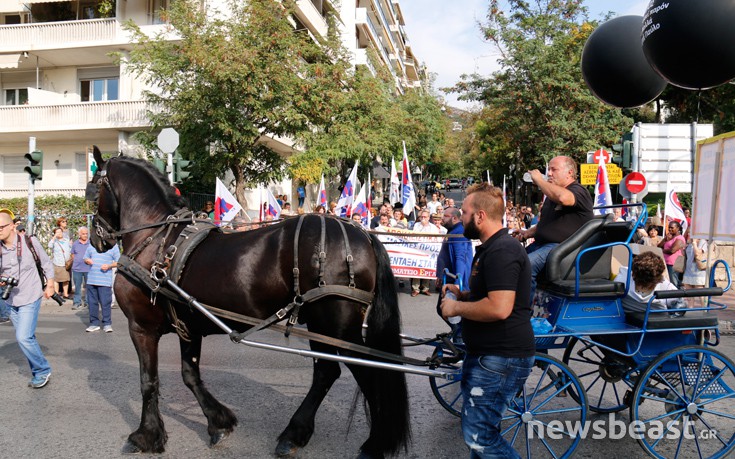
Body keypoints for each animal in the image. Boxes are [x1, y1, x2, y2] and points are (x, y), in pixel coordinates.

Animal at [86, 149, 412, 458]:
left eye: (91, 192)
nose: (95, 240)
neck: (155, 240)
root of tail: (364, 235)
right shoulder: (187, 327)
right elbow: (190, 375)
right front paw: (218, 422)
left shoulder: (141, 327)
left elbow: (148, 381)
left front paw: (146, 435)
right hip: (323, 323)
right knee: (327, 373)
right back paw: (298, 433)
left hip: (335, 324)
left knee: (362, 371)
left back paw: (372, 442)